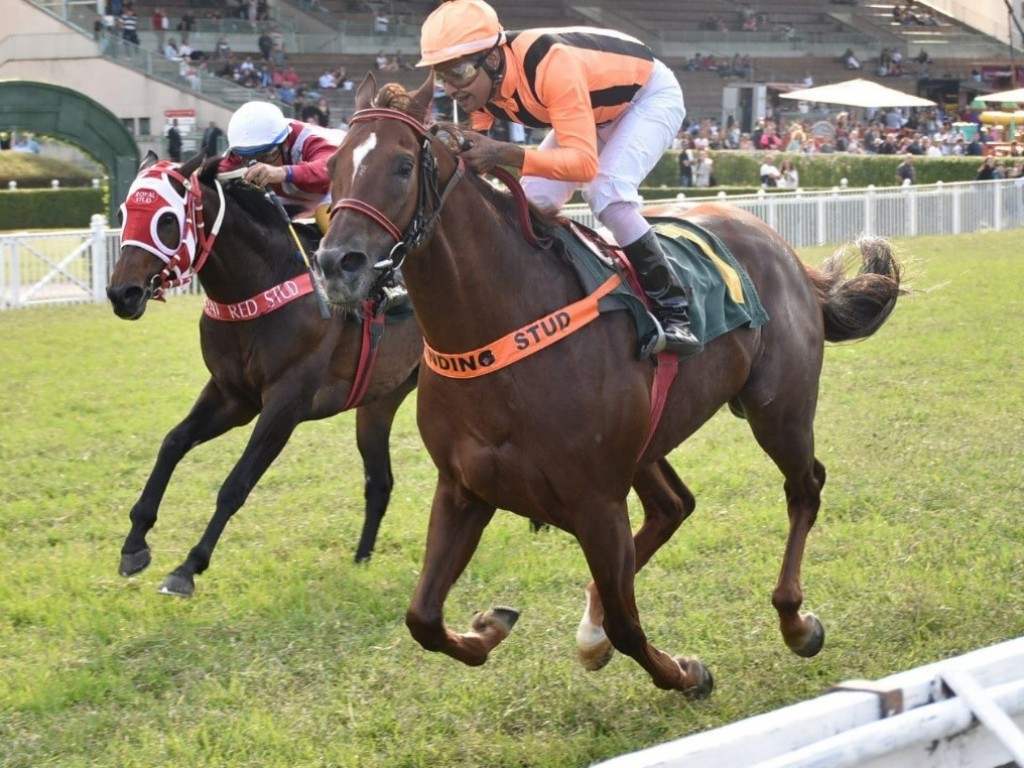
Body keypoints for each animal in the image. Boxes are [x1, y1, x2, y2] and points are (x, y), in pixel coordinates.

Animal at [107, 150, 419, 593]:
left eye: (166, 220)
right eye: (123, 211)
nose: (122, 293)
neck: (261, 283)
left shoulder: (285, 404)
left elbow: (236, 483)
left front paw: (188, 567)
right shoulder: (232, 396)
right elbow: (173, 442)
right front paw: (135, 542)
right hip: (380, 402)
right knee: (380, 482)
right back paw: (361, 559)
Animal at [313, 79, 905, 696]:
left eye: (403, 165)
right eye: (331, 164)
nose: (336, 264)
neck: (498, 330)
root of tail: (784, 249)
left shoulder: (595, 501)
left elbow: (628, 624)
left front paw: (686, 672)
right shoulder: (463, 489)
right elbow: (422, 617)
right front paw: (490, 625)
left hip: (779, 411)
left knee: (804, 487)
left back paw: (795, 621)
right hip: (650, 440)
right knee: (674, 506)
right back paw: (592, 626)